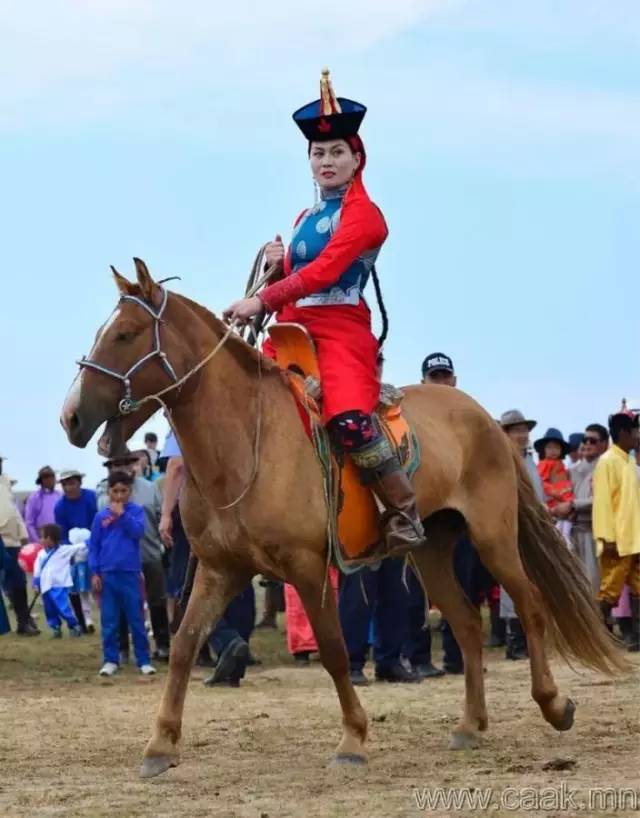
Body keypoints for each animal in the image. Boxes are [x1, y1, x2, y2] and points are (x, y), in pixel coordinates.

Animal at [61, 262, 624, 776]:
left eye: (126, 334)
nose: (71, 417)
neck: (244, 442)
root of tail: (482, 417)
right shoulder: (220, 569)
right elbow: (182, 645)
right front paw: (160, 746)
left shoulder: (308, 568)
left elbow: (334, 649)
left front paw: (353, 738)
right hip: (431, 548)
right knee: (465, 623)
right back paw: (470, 725)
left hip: (493, 538)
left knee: (529, 605)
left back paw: (554, 704)